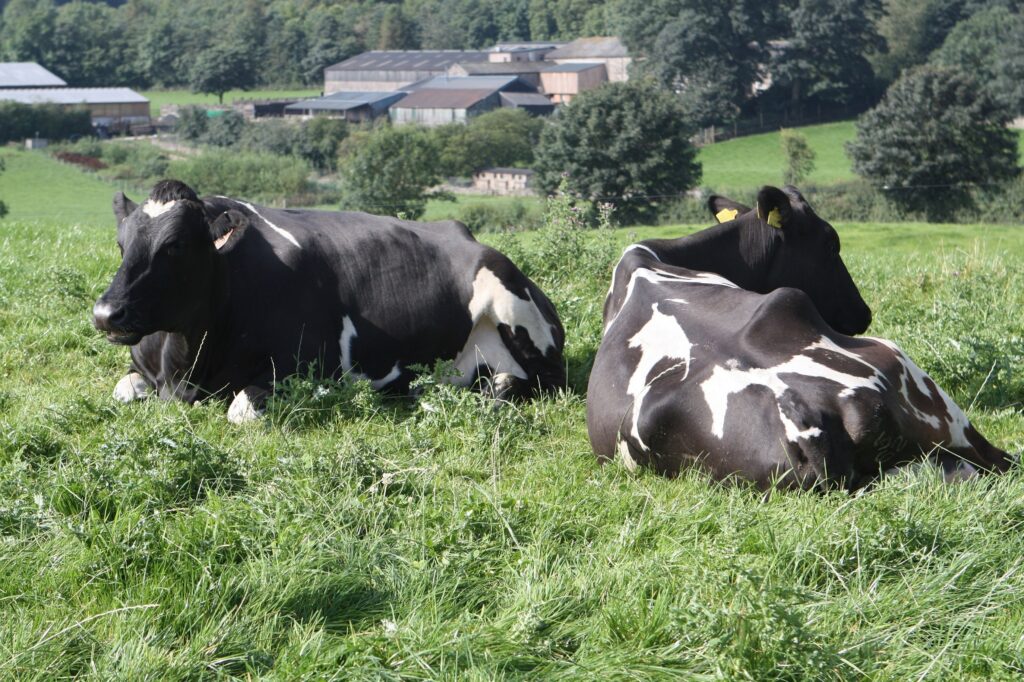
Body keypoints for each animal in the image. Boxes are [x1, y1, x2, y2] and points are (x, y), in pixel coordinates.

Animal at [92, 179, 565, 419]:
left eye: (174, 246)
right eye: (122, 244)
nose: (105, 313)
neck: (185, 366)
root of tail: (468, 236)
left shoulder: (309, 369)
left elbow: (241, 410)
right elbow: (120, 390)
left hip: (513, 306)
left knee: (538, 381)